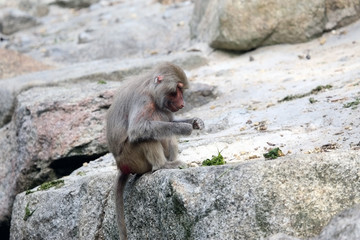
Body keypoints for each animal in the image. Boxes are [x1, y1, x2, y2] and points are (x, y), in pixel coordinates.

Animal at [105, 62, 204, 240]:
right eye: (176, 90)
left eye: (182, 90)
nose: (182, 104)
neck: (151, 91)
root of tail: (121, 166)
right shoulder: (143, 100)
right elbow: (137, 130)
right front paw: (185, 127)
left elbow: (170, 122)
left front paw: (195, 122)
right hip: (132, 159)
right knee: (146, 136)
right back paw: (162, 166)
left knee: (164, 127)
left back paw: (173, 162)